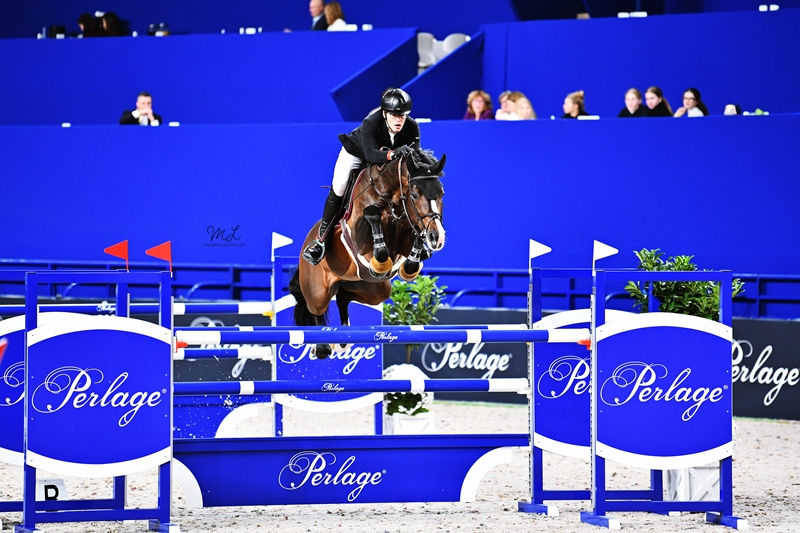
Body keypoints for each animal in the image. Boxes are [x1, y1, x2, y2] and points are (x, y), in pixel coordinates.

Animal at [289, 148, 447, 359]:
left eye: (441, 193)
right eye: (414, 195)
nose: (437, 237)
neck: (390, 197)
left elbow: (413, 240)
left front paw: (412, 262)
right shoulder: (360, 239)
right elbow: (373, 216)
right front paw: (381, 263)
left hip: (373, 290)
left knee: (344, 297)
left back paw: (343, 338)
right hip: (318, 291)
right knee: (313, 306)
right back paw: (321, 346)